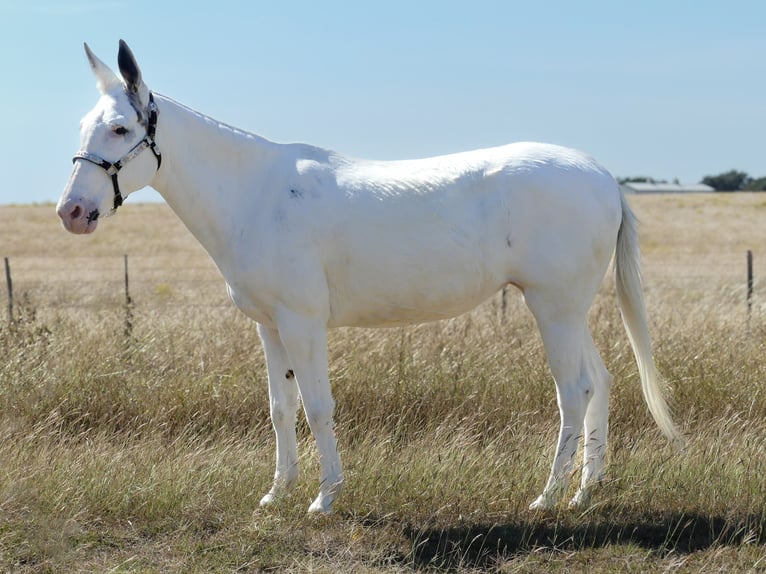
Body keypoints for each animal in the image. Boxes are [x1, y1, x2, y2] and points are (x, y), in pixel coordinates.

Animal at [57, 40, 682, 514]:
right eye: (84, 126)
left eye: (120, 129)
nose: (72, 212)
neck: (256, 195)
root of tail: (602, 175)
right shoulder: (269, 326)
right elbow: (280, 407)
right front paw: (276, 495)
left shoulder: (303, 323)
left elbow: (317, 405)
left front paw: (324, 499)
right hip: (570, 309)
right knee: (600, 381)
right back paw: (585, 491)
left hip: (553, 307)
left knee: (573, 392)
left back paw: (547, 497)